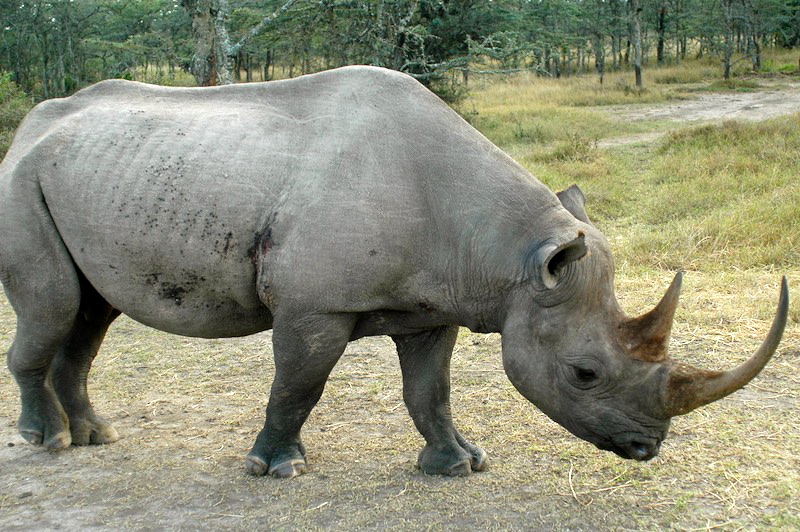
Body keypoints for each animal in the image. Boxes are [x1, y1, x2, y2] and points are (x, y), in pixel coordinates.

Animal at [0, 66, 788, 478]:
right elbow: (298, 387)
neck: (511, 256)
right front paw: (277, 469)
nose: (645, 450)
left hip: (94, 175)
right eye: (584, 374)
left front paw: (459, 465)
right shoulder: (313, 306)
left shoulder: (436, 305)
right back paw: (47, 443)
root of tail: (31, 123)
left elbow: (428, 391)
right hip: (22, 181)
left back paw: (95, 438)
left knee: (90, 312)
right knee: (53, 306)